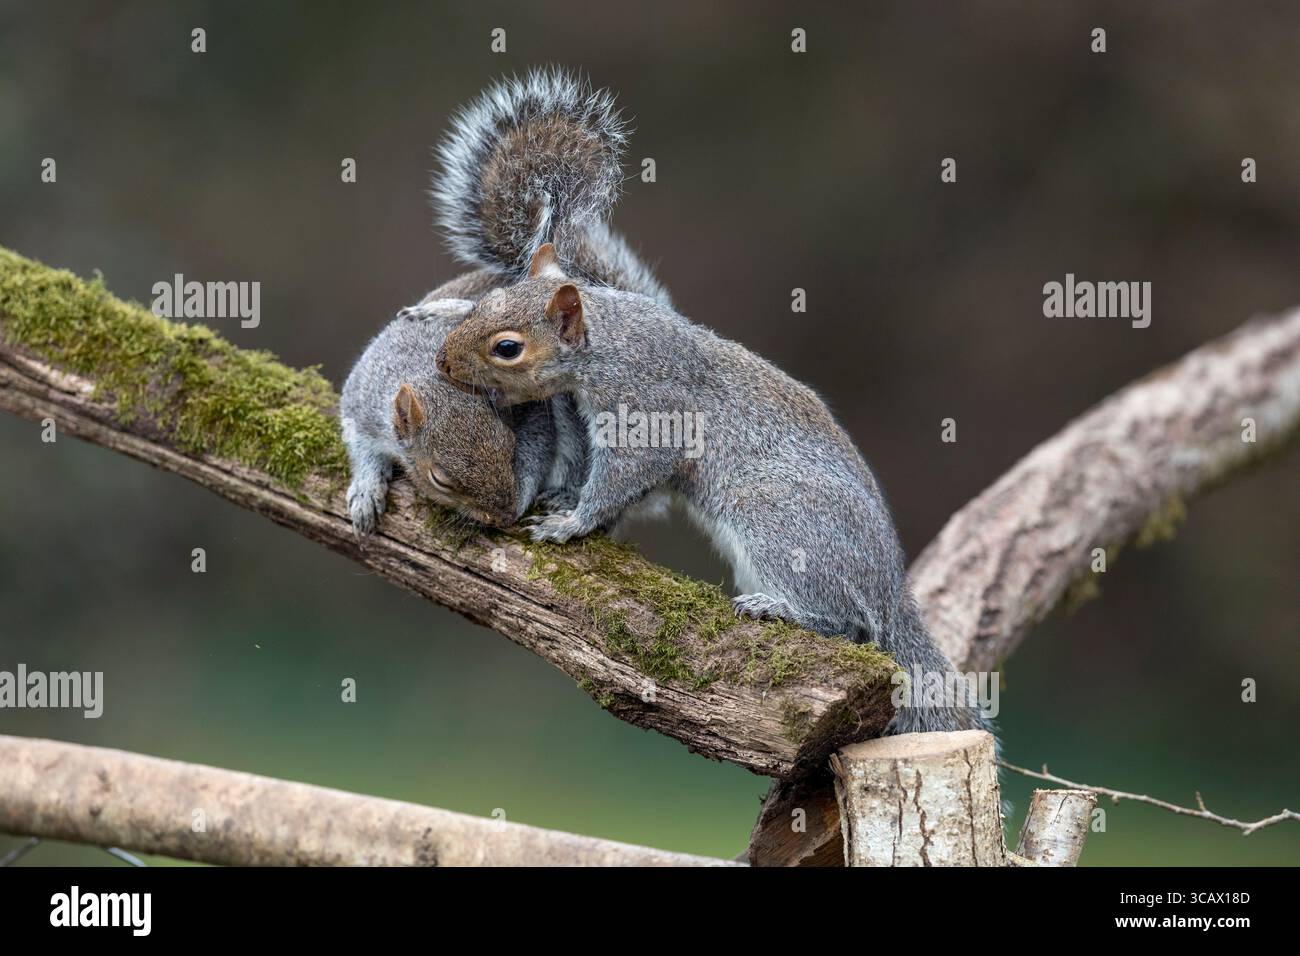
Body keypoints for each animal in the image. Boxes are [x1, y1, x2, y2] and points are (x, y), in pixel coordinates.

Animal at [341, 68, 668, 534]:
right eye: (440, 478)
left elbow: (540, 446)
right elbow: (361, 444)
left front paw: (525, 494)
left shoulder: (534, 414)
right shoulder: (363, 403)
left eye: (508, 441)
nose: (504, 514)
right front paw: (366, 491)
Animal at [435, 244, 987, 735]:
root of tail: (890, 590)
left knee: (850, 624)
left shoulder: (648, 412)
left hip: (778, 522)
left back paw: (781, 608)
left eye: (508, 348)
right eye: (485, 301)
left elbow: (623, 478)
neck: (608, 341)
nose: (443, 362)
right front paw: (565, 500)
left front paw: (571, 523)